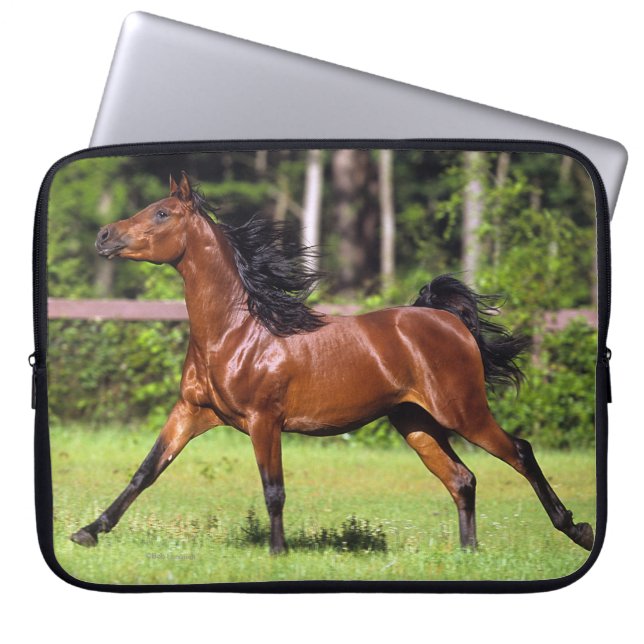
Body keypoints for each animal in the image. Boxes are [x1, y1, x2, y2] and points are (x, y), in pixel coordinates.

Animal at [71, 171, 594, 554]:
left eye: (161, 212)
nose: (102, 235)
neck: (237, 333)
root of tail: (448, 320)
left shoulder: (264, 421)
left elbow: (274, 489)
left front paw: (278, 554)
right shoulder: (193, 412)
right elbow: (146, 471)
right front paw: (88, 531)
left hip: (462, 412)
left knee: (519, 451)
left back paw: (575, 529)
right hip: (416, 423)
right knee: (462, 479)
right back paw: (469, 554)